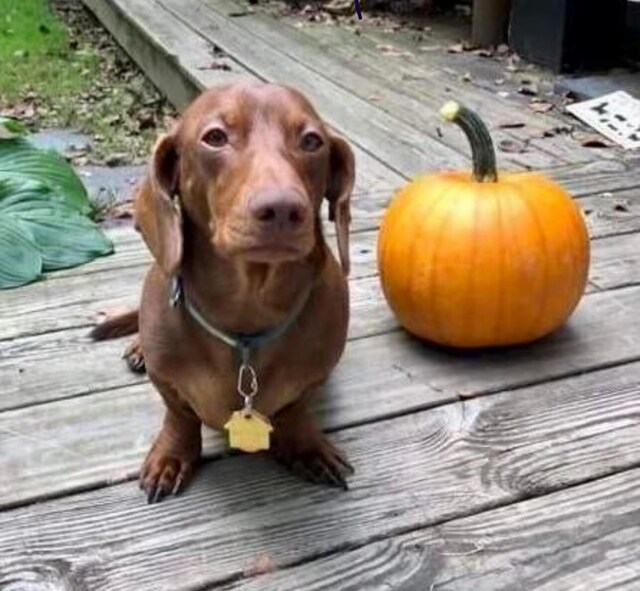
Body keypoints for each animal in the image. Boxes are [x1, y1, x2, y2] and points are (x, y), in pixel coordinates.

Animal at [92, 81, 358, 502]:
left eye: (312, 141)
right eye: (215, 137)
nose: (283, 209)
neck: (247, 310)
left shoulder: (315, 377)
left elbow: (297, 408)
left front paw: (306, 446)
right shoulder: (166, 383)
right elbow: (179, 416)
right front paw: (172, 456)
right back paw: (138, 348)